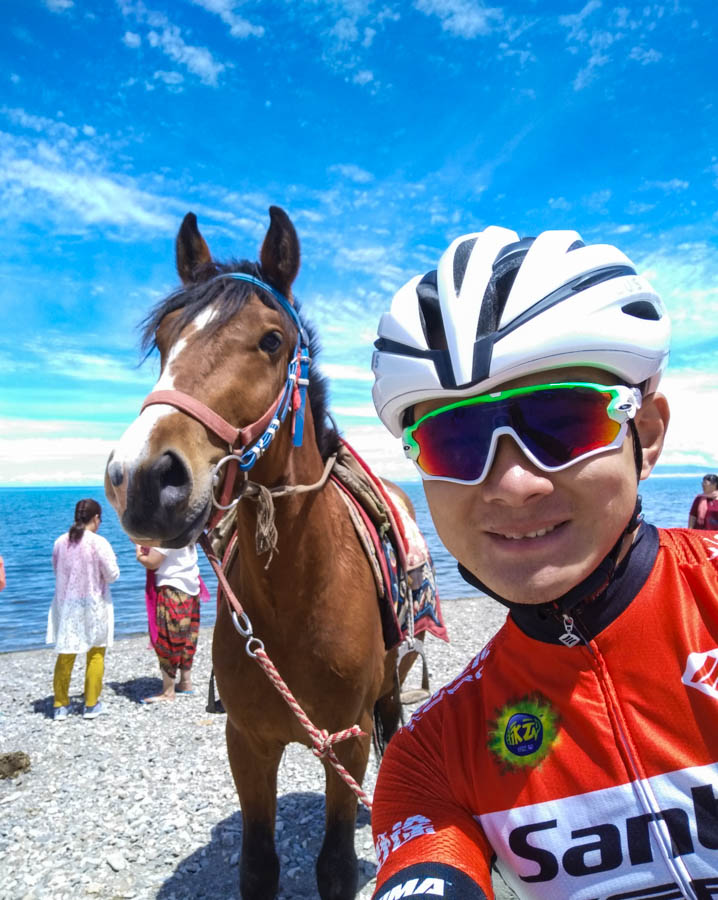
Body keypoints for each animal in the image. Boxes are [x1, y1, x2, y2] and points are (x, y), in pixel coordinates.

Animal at [107, 206, 422, 900]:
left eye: (272, 341)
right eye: (164, 341)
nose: (140, 477)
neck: (294, 596)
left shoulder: (346, 741)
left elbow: (334, 867)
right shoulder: (246, 742)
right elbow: (257, 866)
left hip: (391, 686)